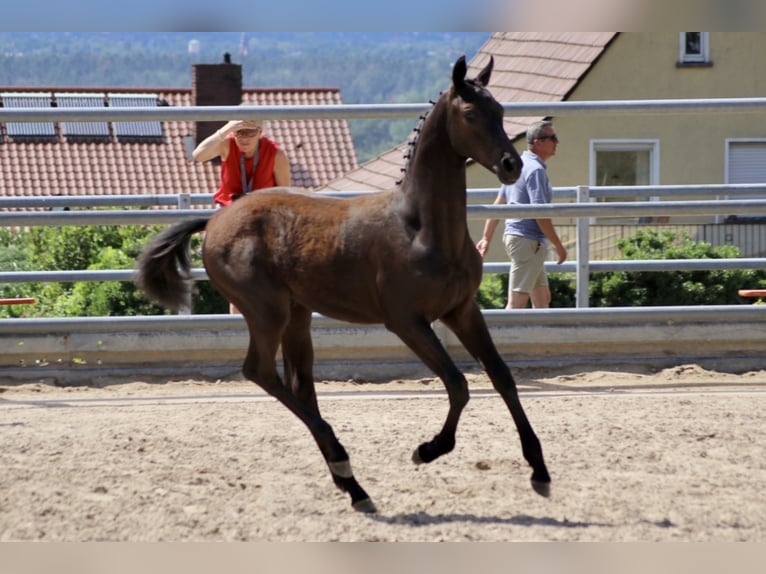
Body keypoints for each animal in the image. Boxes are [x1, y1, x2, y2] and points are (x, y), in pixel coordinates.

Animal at [135, 56, 548, 516]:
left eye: (501, 111)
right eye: (471, 114)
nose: (512, 165)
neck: (423, 228)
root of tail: (216, 220)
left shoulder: (462, 310)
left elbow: (502, 376)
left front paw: (539, 470)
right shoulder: (406, 321)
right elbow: (458, 384)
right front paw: (426, 450)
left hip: (297, 315)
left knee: (299, 383)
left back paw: (352, 485)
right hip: (266, 311)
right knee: (259, 371)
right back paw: (344, 463)